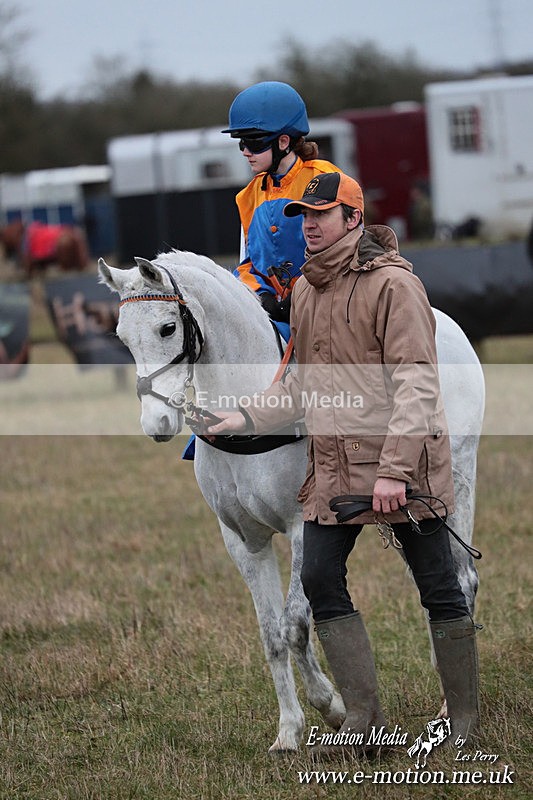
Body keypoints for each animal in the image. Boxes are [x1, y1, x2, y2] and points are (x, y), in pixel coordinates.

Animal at [98, 249, 485, 753]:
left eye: (167, 328)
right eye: (122, 336)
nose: (157, 423)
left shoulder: (305, 526)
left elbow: (297, 623)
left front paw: (333, 706)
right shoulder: (243, 541)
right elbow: (271, 634)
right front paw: (288, 729)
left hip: (449, 489)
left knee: (461, 581)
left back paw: (450, 706)